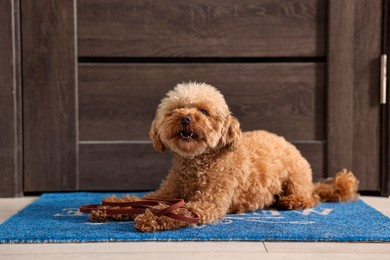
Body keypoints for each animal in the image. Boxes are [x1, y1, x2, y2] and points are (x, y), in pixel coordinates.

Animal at [105, 82, 358, 232]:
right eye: (175, 110)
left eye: (203, 111)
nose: (185, 118)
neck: (196, 164)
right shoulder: (167, 193)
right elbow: (137, 200)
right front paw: (108, 207)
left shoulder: (209, 202)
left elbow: (180, 211)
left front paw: (151, 218)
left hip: (296, 176)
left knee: (311, 198)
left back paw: (292, 201)